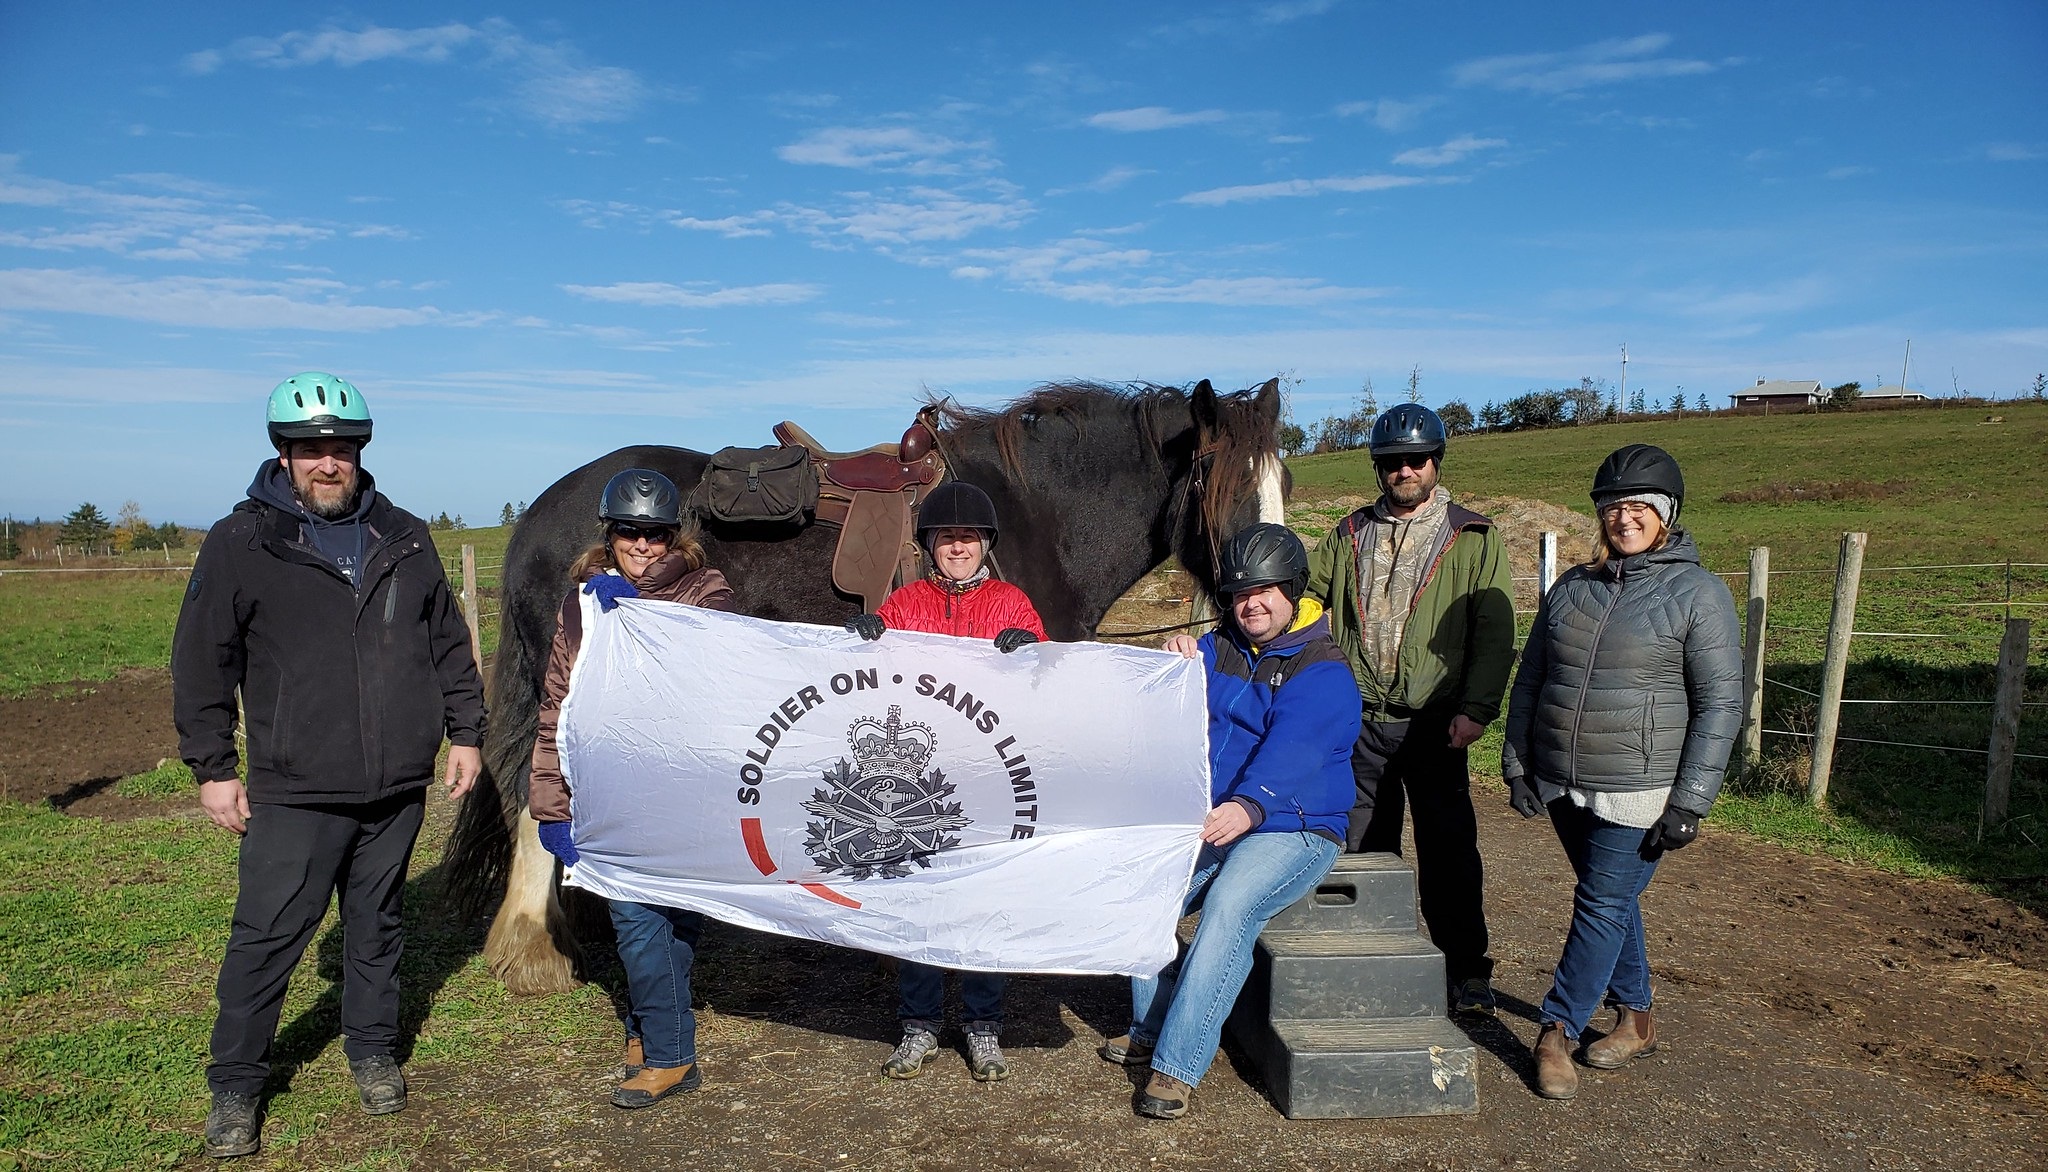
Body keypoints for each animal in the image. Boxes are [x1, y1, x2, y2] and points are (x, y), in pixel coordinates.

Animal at [452, 374, 1277, 987]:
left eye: (1278, 479)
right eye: (1217, 477)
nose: (1267, 584)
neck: (1028, 517)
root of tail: (541, 511)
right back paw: (533, 950)